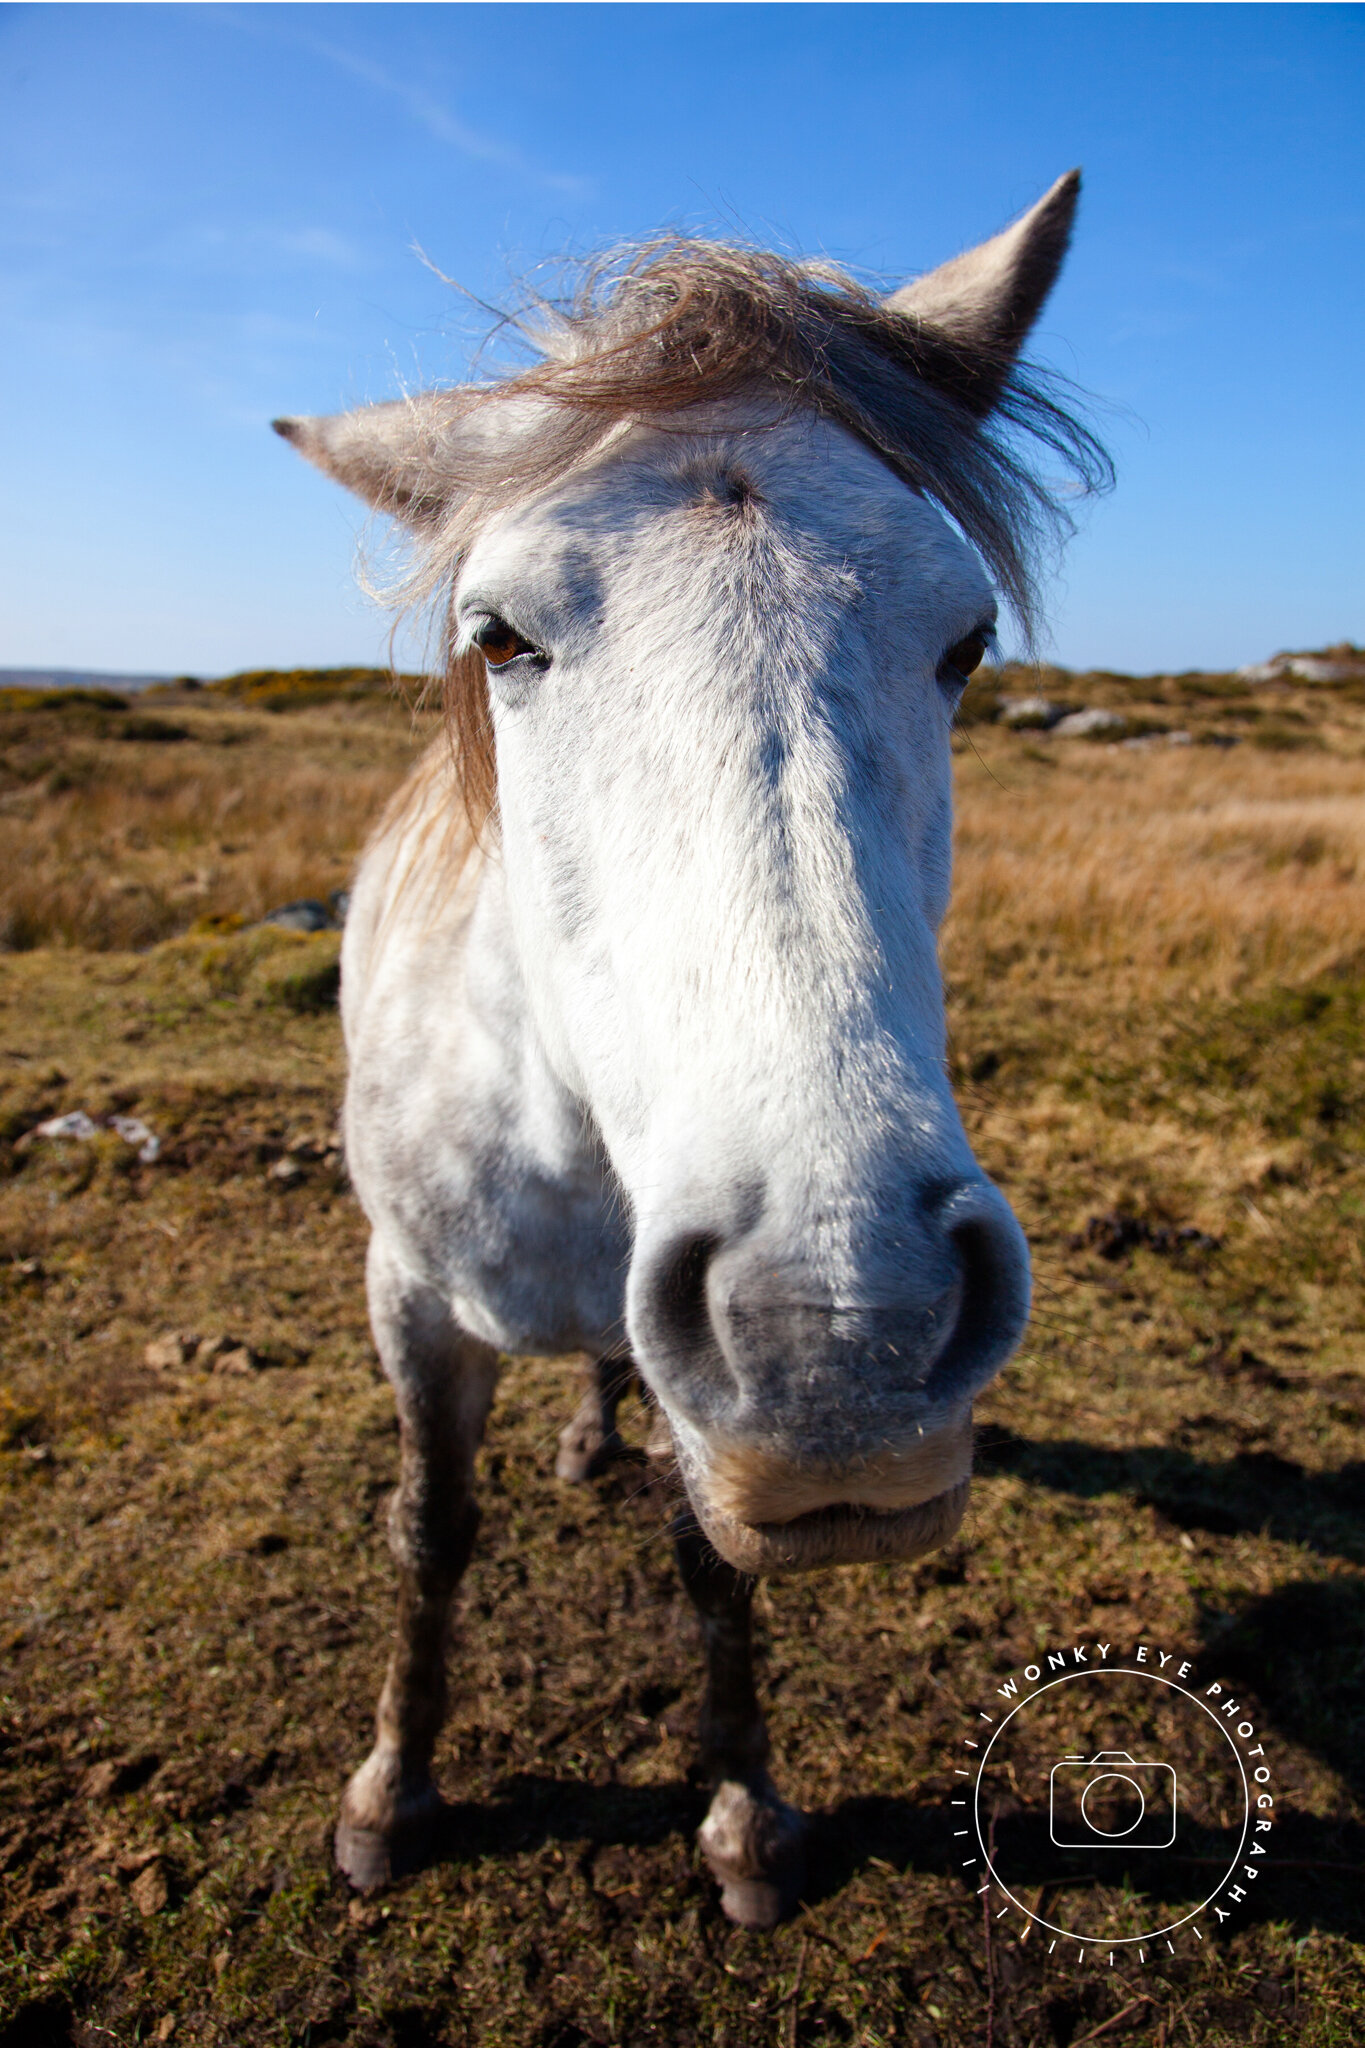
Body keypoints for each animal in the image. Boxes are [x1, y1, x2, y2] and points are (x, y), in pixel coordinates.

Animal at [273, 170, 1108, 1929]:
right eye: (499, 636)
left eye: (966, 641)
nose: (843, 1327)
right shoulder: (405, 1299)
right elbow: (429, 1531)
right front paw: (391, 1796)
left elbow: (715, 1562)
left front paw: (740, 1818)